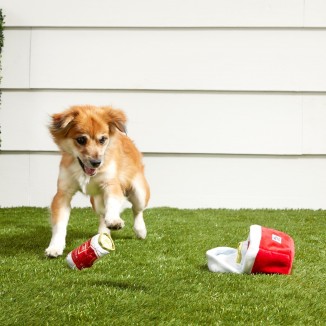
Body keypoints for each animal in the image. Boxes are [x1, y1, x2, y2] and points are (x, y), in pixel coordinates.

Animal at [45, 105, 151, 258]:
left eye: (103, 139)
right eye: (81, 140)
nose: (97, 163)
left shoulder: (111, 184)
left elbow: (113, 203)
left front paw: (114, 220)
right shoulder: (63, 194)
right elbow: (59, 223)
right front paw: (55, 246)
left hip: (140, 192)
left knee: (137, 210)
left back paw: (140, 229)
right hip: (96, 200)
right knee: (102, 214)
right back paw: (104, 233)